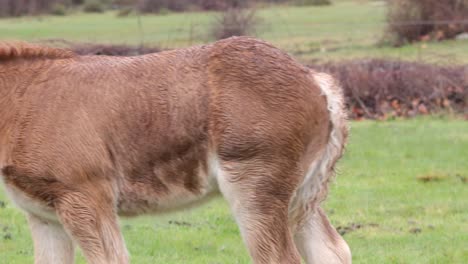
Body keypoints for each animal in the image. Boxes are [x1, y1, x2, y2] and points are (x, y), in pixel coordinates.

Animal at [0, 37, 352, 264]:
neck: (21, 102)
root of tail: (316, 80)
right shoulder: (44, 215)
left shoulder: (85, 197)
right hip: (300, 196)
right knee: (333, 251)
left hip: (257, 188)